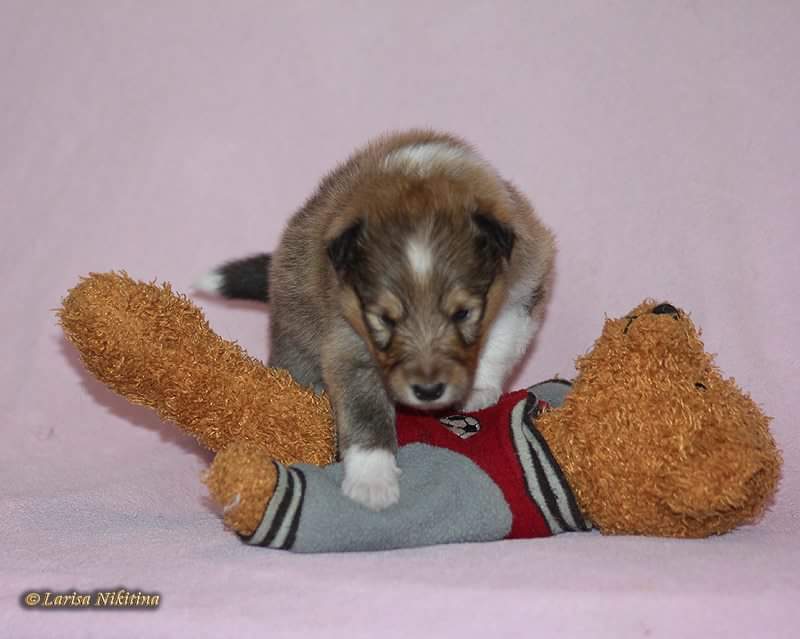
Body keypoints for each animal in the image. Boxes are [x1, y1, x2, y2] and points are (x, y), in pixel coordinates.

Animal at [196, 130, 555, 510]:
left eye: (462, 313)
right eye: (385, 319)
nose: (428, 391)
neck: (418, 175)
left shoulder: (526, 278)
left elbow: (503, 337)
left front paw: (479, 388)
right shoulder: (348, 340)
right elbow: (364, 407)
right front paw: (372, 480)